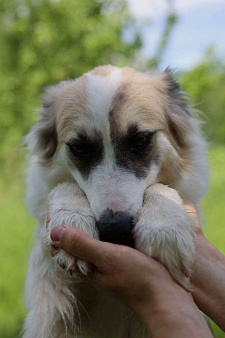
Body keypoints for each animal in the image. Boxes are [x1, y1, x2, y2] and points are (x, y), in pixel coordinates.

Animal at [23, 64, 208, 336]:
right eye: (79, 148)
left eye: (141, 140)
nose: (115, 230)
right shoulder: (48, 299)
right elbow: (63, 185)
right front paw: (72, 218)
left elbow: (159, 187)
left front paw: (163, 227)